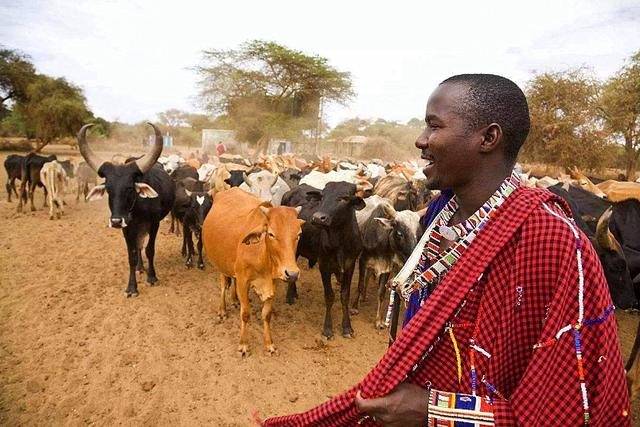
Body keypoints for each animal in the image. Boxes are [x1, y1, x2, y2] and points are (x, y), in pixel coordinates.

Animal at [79, 123, 176, 298]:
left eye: (130, 188)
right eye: (108, 189)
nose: (116, 221)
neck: (137, 209)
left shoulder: (154, 224)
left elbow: (150, 250)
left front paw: (152, 277)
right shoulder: (127, 229)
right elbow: (132, 254)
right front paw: (132, 287)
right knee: (138, 247)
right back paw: (140, 267)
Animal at [205, 189, 304, 356]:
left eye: (298, 234)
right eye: (271, 234)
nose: (292, 274)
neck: (261, 255)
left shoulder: (273, 282)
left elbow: (267, 314)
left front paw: (269, 344)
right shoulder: (243, 281)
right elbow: (245, 314)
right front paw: (243, 344)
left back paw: (234, 300)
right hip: (220, 264)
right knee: (223, 285)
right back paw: (222, 310)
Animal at [282, 182, 364, 340]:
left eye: (344, 198)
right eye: (323, 196)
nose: (318, 218)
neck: (340, 242)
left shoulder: (350, 266)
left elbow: (344, 296)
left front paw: (347, 327)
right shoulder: (324, 266)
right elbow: (329, 296)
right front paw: (327, 329)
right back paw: (289, 297)